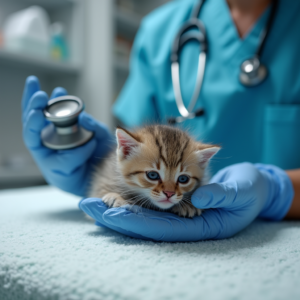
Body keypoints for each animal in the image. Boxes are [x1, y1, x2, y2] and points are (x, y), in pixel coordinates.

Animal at [88, 124, 219, 218]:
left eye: (183, 179)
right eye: (152, 175)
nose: (169, 194)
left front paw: (188, 205)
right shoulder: (106, 176)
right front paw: (115, 197)